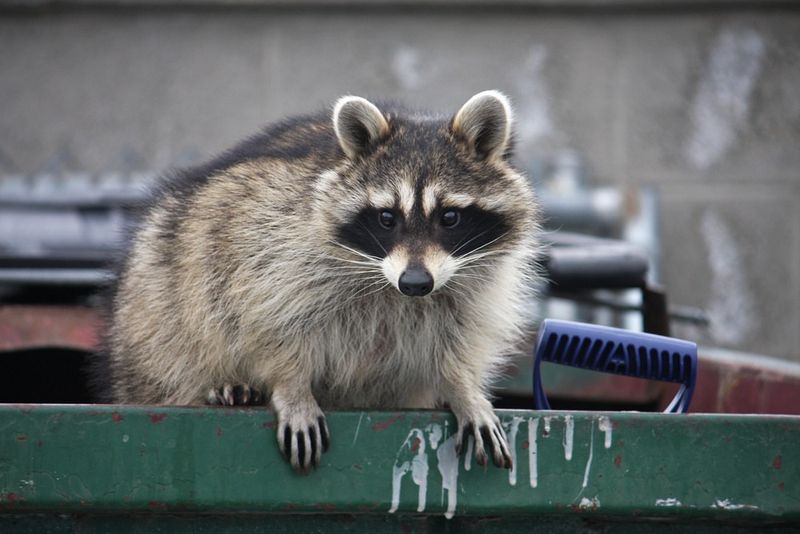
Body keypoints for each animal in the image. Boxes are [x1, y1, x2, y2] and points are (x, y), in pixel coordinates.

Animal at [105, 90, 540, 473]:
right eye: (387, 218)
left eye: (449, 217)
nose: (415, 282)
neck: (390, 286)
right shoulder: (270, 241)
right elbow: (269, 321)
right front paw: (291, 385)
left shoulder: (473, 284)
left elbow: (458, 338)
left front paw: (463, 387)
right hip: (159, 294)